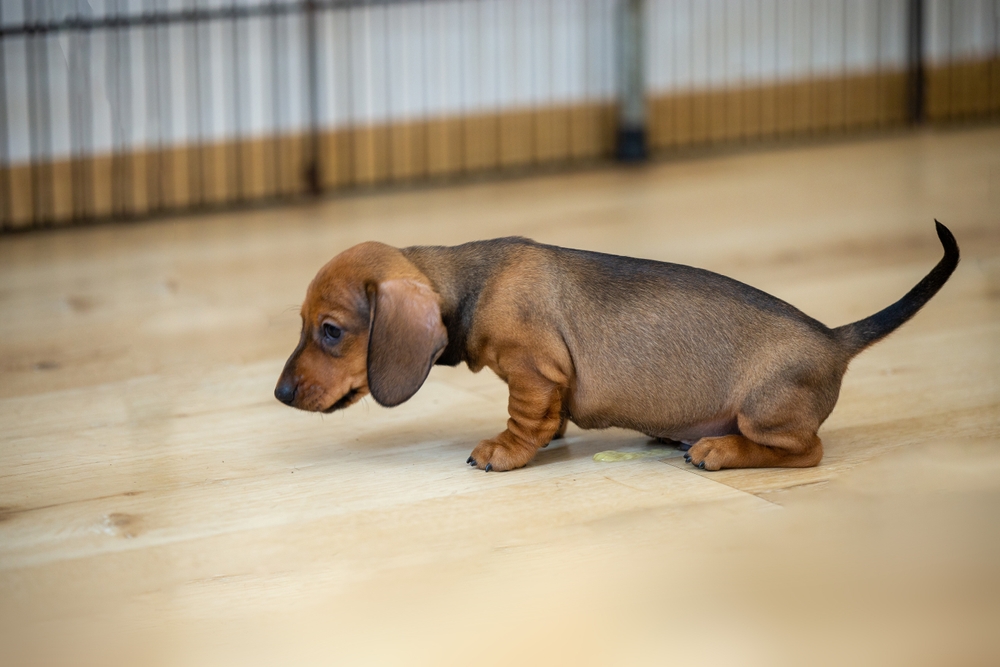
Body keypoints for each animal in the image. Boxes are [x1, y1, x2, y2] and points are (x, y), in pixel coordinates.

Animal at [276, 222, 960, 472]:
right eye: (303, 322)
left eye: (331, 330)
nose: (279, 394)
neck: (471, 280)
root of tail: (834, 339)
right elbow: (547, 419)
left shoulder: (534, 370)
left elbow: (523, 420)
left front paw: (503, 451)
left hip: (764, 410)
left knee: (806, 452)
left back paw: (718, 450)